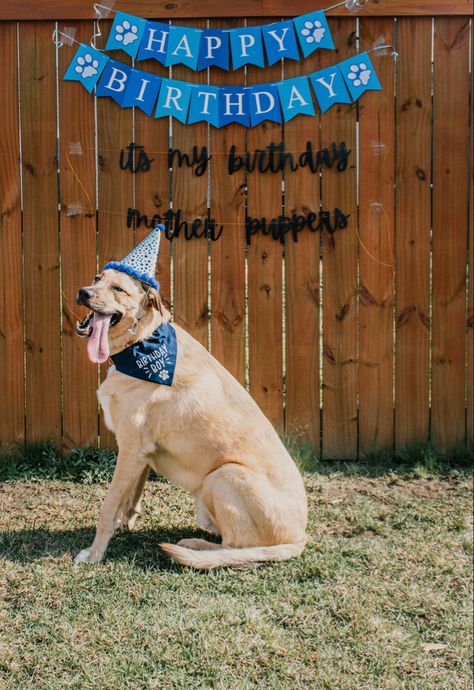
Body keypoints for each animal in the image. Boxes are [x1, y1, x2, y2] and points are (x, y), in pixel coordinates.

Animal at [74, 266, 308, 568]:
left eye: (118, 289)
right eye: (97, 279)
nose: (83, 293)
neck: (142, 342)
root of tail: (300, 537)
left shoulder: (131, 449)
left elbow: (108, 506)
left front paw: (94, 554)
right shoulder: (140, 454)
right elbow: (129, 497)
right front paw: (124, 523)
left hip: (223, 475)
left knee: (235, 546)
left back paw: (195, 547)